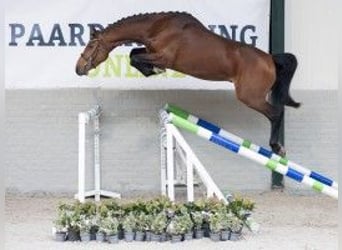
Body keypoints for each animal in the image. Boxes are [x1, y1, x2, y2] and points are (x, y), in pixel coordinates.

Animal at [75, 12, 300, 156]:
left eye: (91, 45)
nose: (78, 68)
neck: (158, 27)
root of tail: (270, 59)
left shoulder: (163, 57)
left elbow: (136, 57)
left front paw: (154, 70)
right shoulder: (151, 51)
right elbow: (134, 54)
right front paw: (151, 70)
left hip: (250, 97)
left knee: (275, 113)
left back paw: (277, 148)